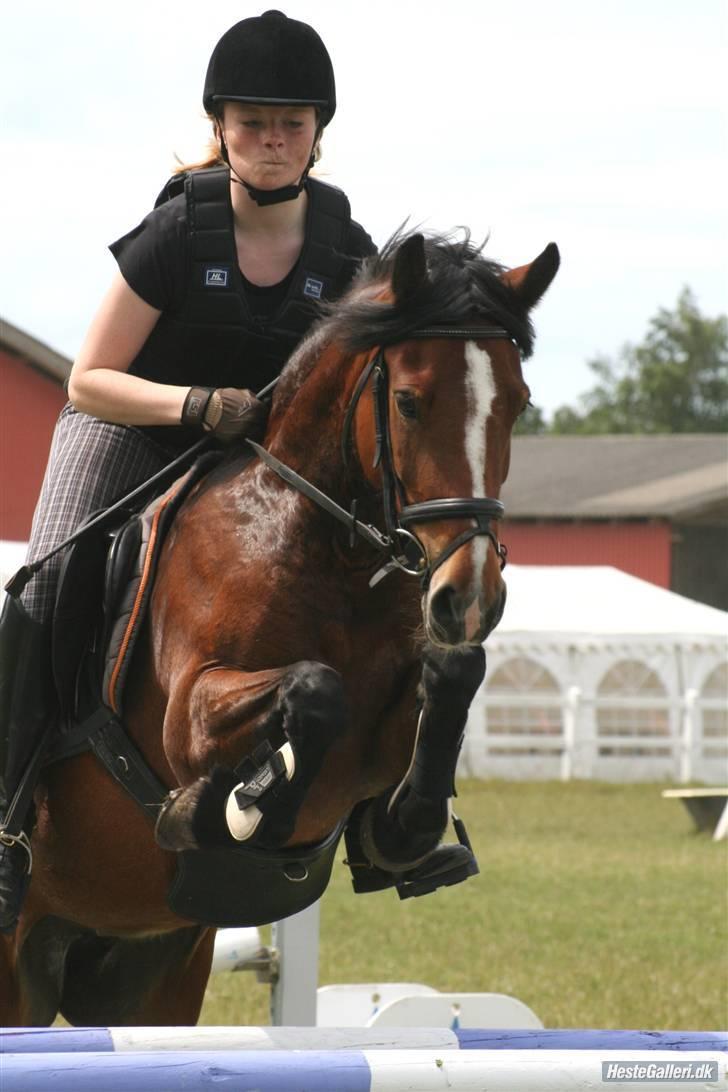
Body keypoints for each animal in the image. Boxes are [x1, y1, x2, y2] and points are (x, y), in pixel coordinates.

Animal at [0, 228, 563, 1022]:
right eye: (409, 402)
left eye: (517, 404)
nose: (471, 598)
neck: (326, 551)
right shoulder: (189, 712)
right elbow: (314, 692)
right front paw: (231, 808)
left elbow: (452, 677)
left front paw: (403, 830)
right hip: (17, 965)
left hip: (146, 970)